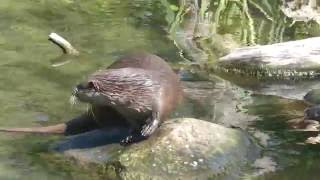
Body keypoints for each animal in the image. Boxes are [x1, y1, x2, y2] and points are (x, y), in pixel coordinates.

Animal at [0, 52, 182, 145]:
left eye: (80, 86)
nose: (72, 89)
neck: (135, 93)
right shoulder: (126, 112)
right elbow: (132, 124)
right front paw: (130, 135)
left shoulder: (160, 94)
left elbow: (158, 115)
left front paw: (147, 130)